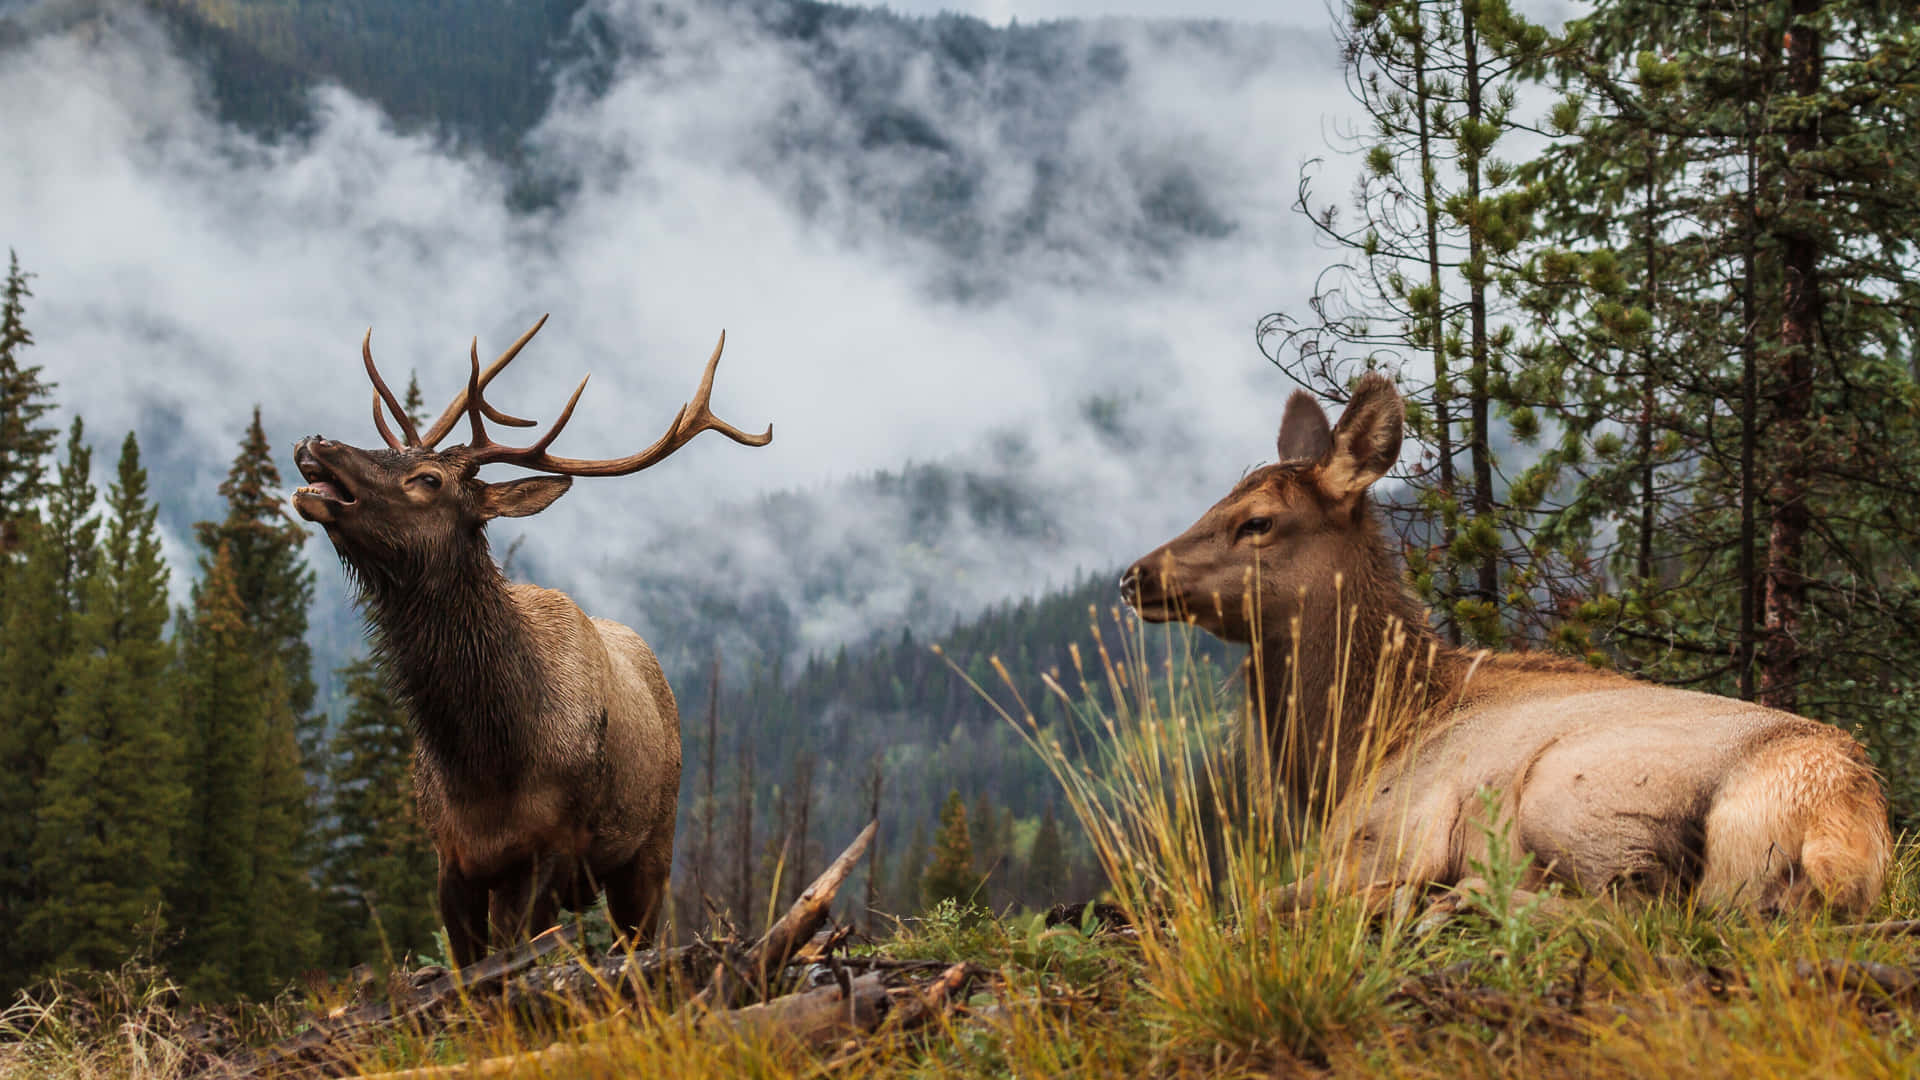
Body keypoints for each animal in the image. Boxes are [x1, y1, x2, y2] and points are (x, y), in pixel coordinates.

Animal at [291, 316, 771, 966]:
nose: (317, 442)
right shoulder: (451, 858)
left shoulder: (551, 851)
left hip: (653, 845)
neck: (485, 760)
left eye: (428, 479)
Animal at [1119, 372, 1889, 917]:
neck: (1361, 743)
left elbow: (1257, 901)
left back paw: (1443, 903)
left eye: (1257, 521)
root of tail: (1839, 819)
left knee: (1636, 908)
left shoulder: (1393, 833)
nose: (1135, 576)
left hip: (1570, 795)